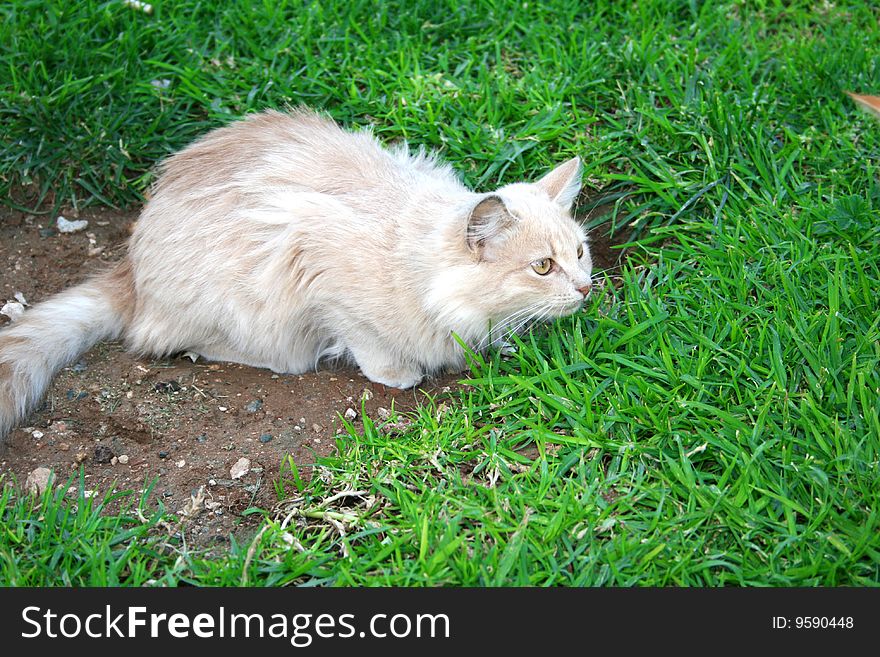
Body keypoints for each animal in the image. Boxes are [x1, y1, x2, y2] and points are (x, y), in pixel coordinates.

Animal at [0, 107, 596, 438]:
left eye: (581, 253)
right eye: (543, 266)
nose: (586, 287)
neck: (410, 260)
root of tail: (129, 264)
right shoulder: (313, 257)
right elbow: (368, 342)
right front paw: (400, 372)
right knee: (166, 339)